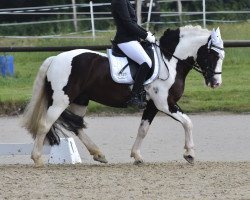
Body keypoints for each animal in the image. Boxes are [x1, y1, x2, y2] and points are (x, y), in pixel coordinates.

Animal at [21, 25, 225, 166]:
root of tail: (55, 58)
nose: (215, 83)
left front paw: (137, 156)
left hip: (80, 101)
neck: (169, 62)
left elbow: (143, 129)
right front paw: (189, 154)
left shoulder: (152, 105)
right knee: (45, 124)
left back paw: (99, 154)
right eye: (213, 55)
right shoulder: (164, 103)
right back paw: (37, 159)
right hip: (61, 100)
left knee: (76, 126)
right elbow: (188, 122)